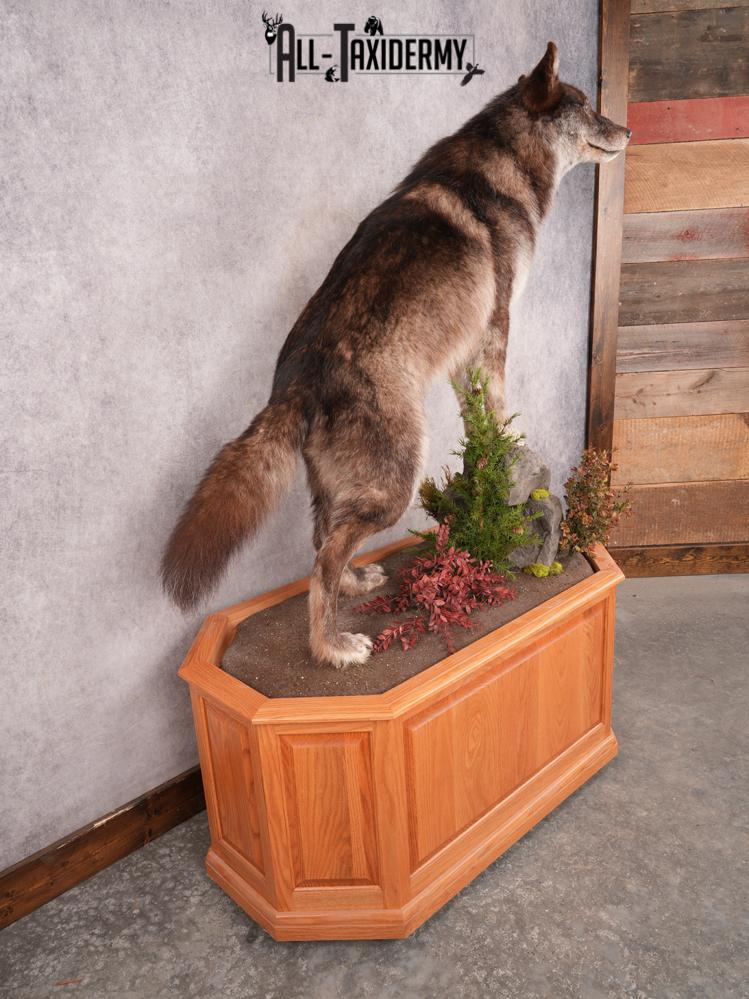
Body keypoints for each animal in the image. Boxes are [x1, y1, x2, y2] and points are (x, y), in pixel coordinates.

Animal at [161, 42, 630, 667]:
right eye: (585, 107)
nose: (629, 129)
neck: (504, 165)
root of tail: (292, 385)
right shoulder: (495, 327)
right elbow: (501, 406)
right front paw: (510, 450)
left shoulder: (463, 351)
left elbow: (477, 418)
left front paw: (489, 458)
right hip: (397, 482)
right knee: (321, 563)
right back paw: (332, 648)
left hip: (340, 487)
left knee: (322, 542)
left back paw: (355, 584)